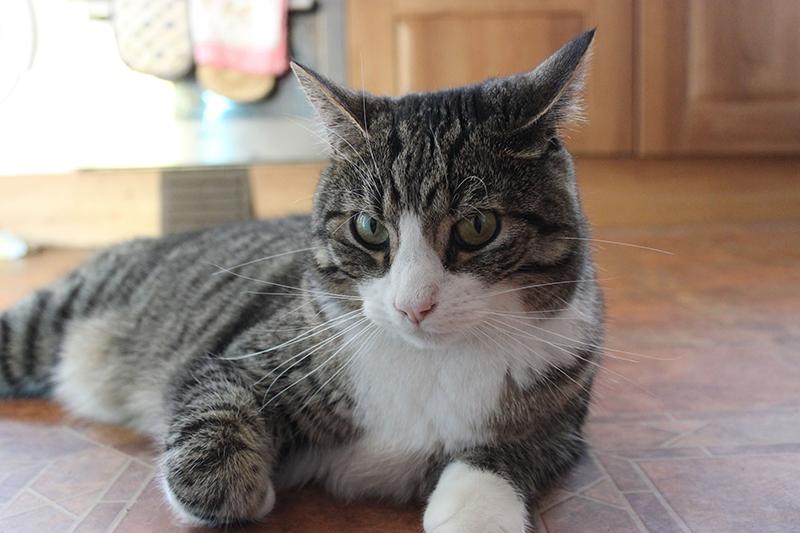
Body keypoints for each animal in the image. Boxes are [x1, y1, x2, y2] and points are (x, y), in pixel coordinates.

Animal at [0, 30, 604, 532]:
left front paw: (475, 513)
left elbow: (506, 455)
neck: (431, 361)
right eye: (368, 227)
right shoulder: (245, 357)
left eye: (478, 227)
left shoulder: (559, 422)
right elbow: (207, 437)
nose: (413, 306)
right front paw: (255, 488)